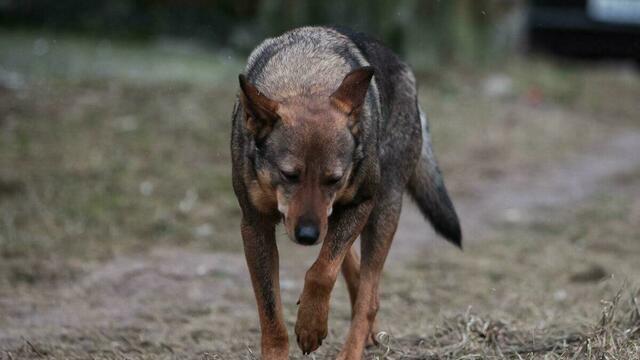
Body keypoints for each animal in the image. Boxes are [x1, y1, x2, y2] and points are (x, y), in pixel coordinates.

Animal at [230, 26, 460, 358]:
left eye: (334, 179)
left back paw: (351, 349)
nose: (307, 236)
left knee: (368, 297)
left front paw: (311, 326)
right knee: (357, 275)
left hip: (382, 211)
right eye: (289, 175)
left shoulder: (359, 204)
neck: (307, 79)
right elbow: (271, 313)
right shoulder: (255, 226)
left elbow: (322, 272)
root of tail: (406, 70)